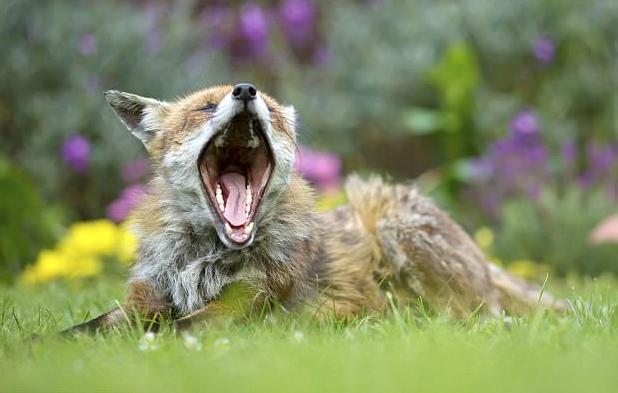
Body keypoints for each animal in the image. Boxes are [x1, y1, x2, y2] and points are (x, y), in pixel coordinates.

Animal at [63, 82, 564, 334]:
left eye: (267, 106)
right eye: (204, 108)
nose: (245, 90)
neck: (202, 259)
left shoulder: (246, 306)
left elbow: (171, 329)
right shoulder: (144, 299)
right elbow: (83, 330)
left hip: (391, 221)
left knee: (478, 315)